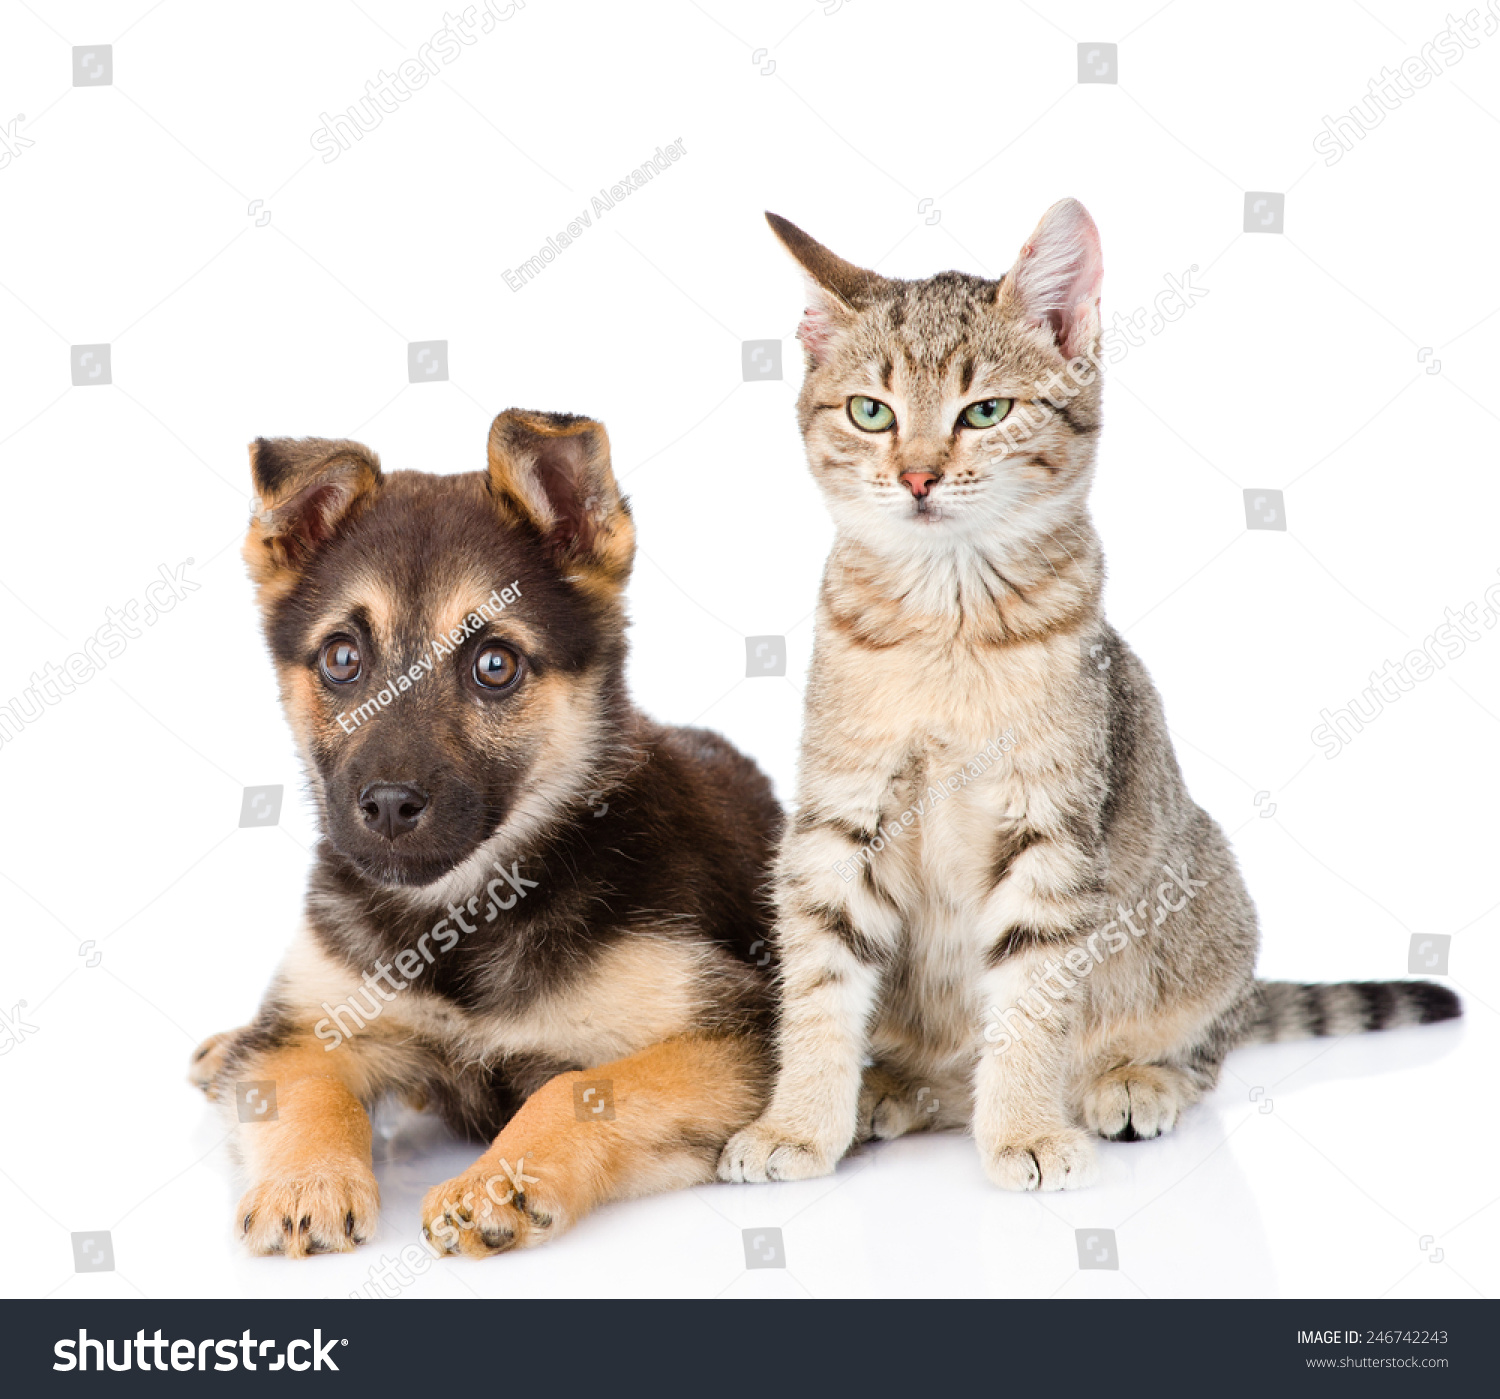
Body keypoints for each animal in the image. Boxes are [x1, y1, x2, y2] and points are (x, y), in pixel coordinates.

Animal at [192, 407, 780, 1253]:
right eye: (342, 657)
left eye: (494, 664)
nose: (389, 805)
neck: (464, 917)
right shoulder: (307, 1029)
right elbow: (310, 1091)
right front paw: (307, 1182)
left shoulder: (739, 1036)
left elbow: (582, 1083)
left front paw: (497, 1181)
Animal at [720, 199, 1458, 1187]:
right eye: (871, 412)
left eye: (985, 410)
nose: (916, 476)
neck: (948, 621)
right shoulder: (839, 823)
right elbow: (820, 985)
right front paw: (799, 1122)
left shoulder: (1054, 829)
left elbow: (1033, 997)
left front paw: (1026, 1127)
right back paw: (893, 1089)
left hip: (1208, 898)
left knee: (1207, 1044)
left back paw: (1132, 1080)